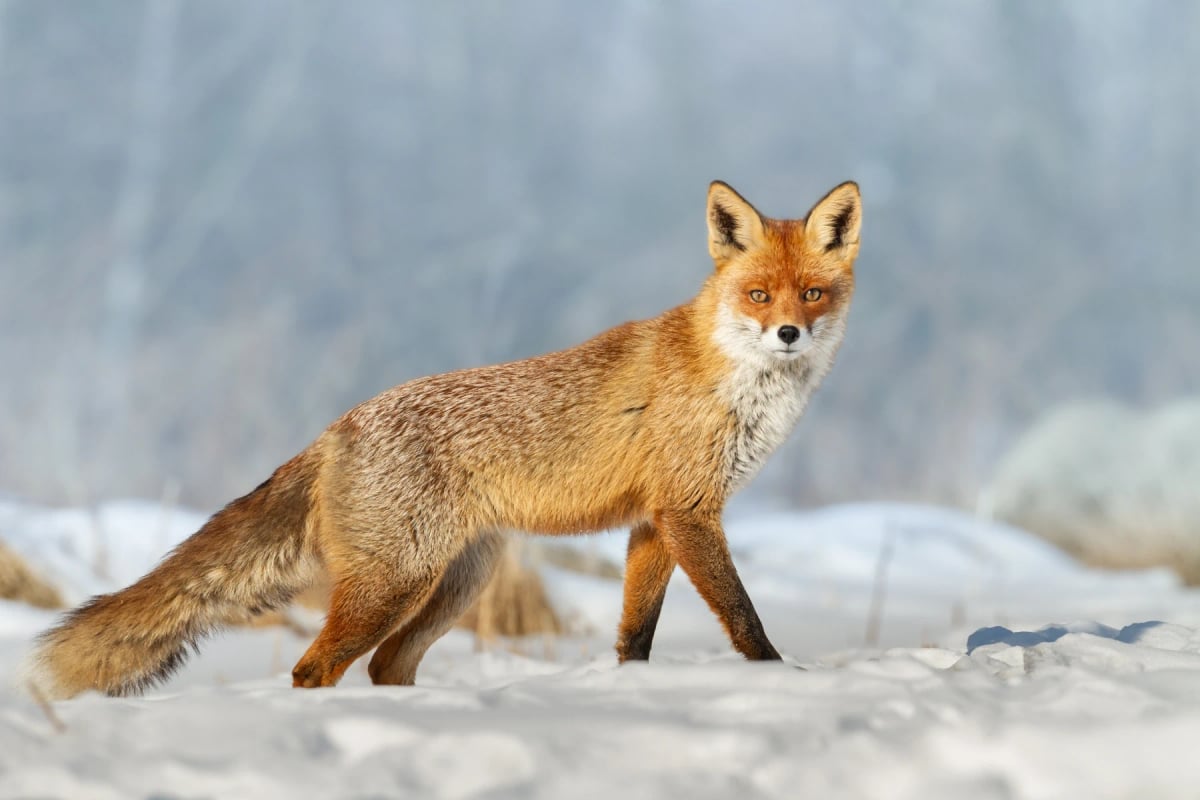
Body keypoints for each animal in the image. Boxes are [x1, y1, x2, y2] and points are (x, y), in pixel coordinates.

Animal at [30, 179, 862, 698]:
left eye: (812, 293)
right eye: (758, 294)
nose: (789, 333)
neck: (734, 380)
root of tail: (336, 427)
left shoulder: (656, 521)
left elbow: (636, 634)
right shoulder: (689, 511)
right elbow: (745, 617)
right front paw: (780, 681)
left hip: (455, 584)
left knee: (384, 668)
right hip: (396, 583)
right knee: (314, 668)